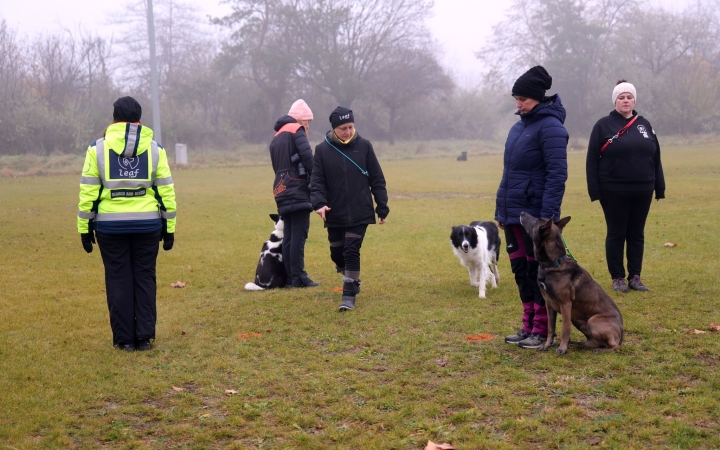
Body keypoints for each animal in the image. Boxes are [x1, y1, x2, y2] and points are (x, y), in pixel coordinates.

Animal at [516, 213, 624, 354]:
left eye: (536, 220)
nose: (522, 213)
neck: (553, 264)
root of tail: (621, 332)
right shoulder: (549, 305)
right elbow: (550, 328)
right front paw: (547, 344)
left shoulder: (565, 305)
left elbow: (565, 329)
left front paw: (562, 348)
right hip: (578, 320)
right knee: (594, 341)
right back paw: (580, 344)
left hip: (592, 321)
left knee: (614, 345)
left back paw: (600, 350)